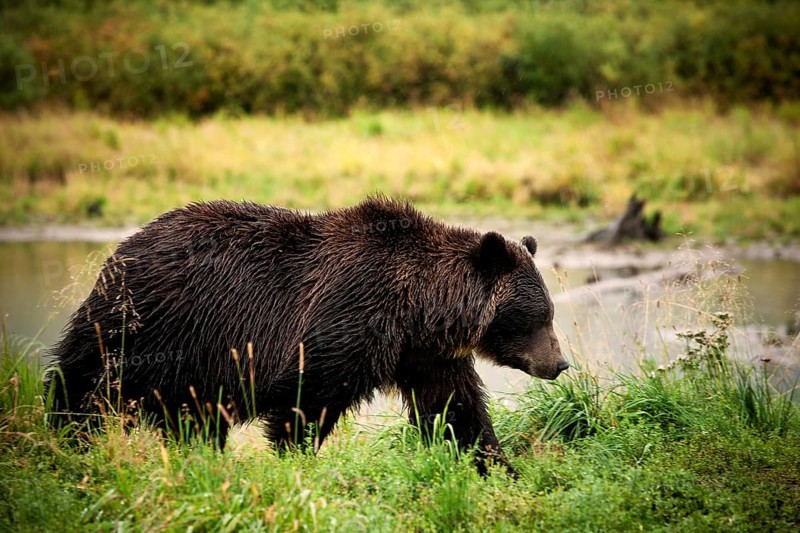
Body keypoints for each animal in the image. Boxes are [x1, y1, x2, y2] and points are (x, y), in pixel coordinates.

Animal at [47, 196, 567, 474]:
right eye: (539, 315)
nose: (560, 364)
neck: (417, 309)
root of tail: (122, 248)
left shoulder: (423, 354)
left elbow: (457, 409)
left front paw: (497, 467)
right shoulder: (347, 316)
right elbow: (307, 397)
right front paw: (295, 461)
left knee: (192, 416)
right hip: (146, 323)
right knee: (84, 382)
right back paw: (66, 439)